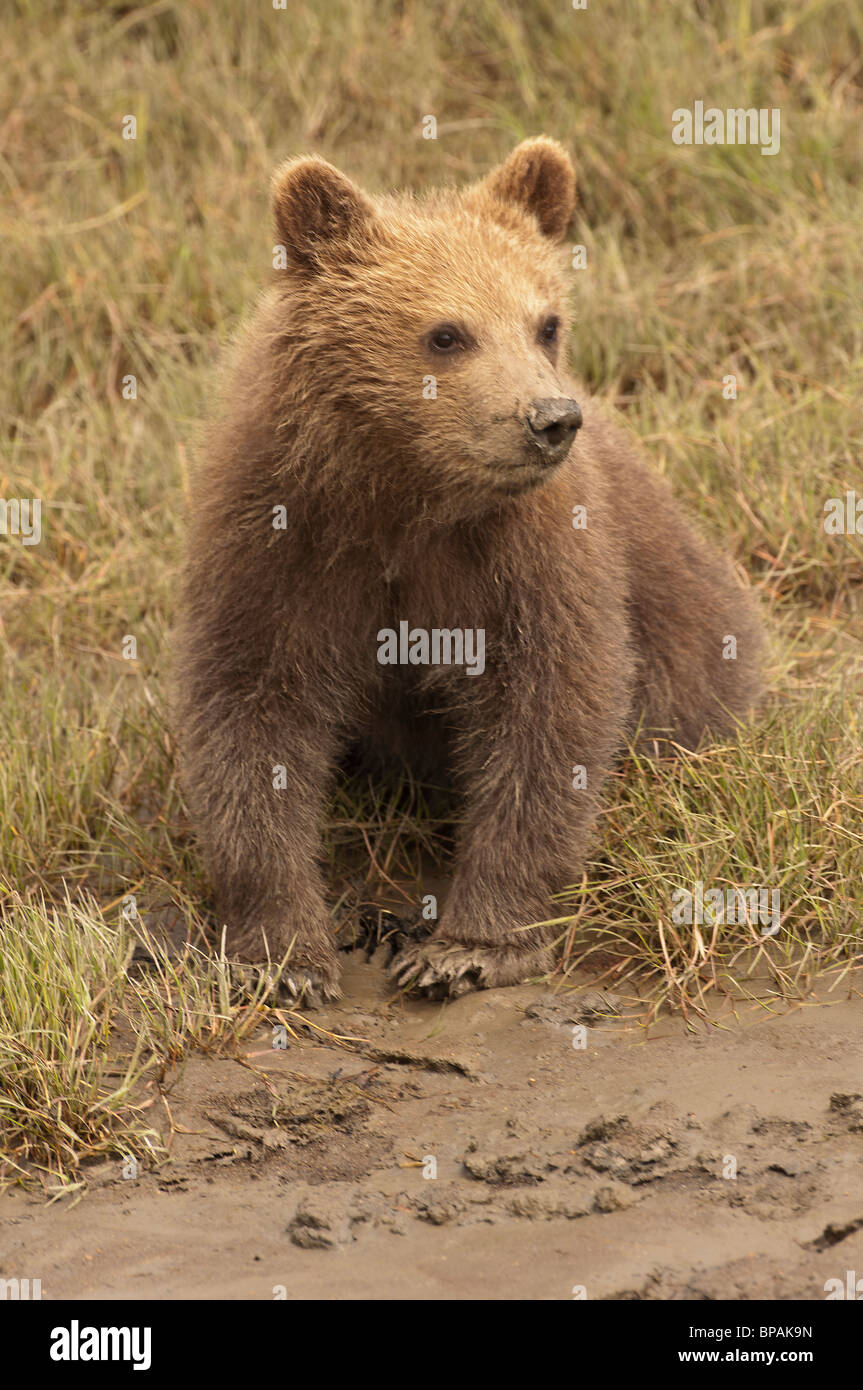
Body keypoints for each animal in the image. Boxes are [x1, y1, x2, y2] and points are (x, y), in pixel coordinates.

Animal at [172, 137, 763, 1005]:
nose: (549, 419)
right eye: (446, 333)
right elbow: (250, 711)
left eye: (545, 322)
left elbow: (546, 712)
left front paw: (467, 945)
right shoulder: (277, 539)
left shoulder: (528, 560)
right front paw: (284, 955)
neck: (403, 493)